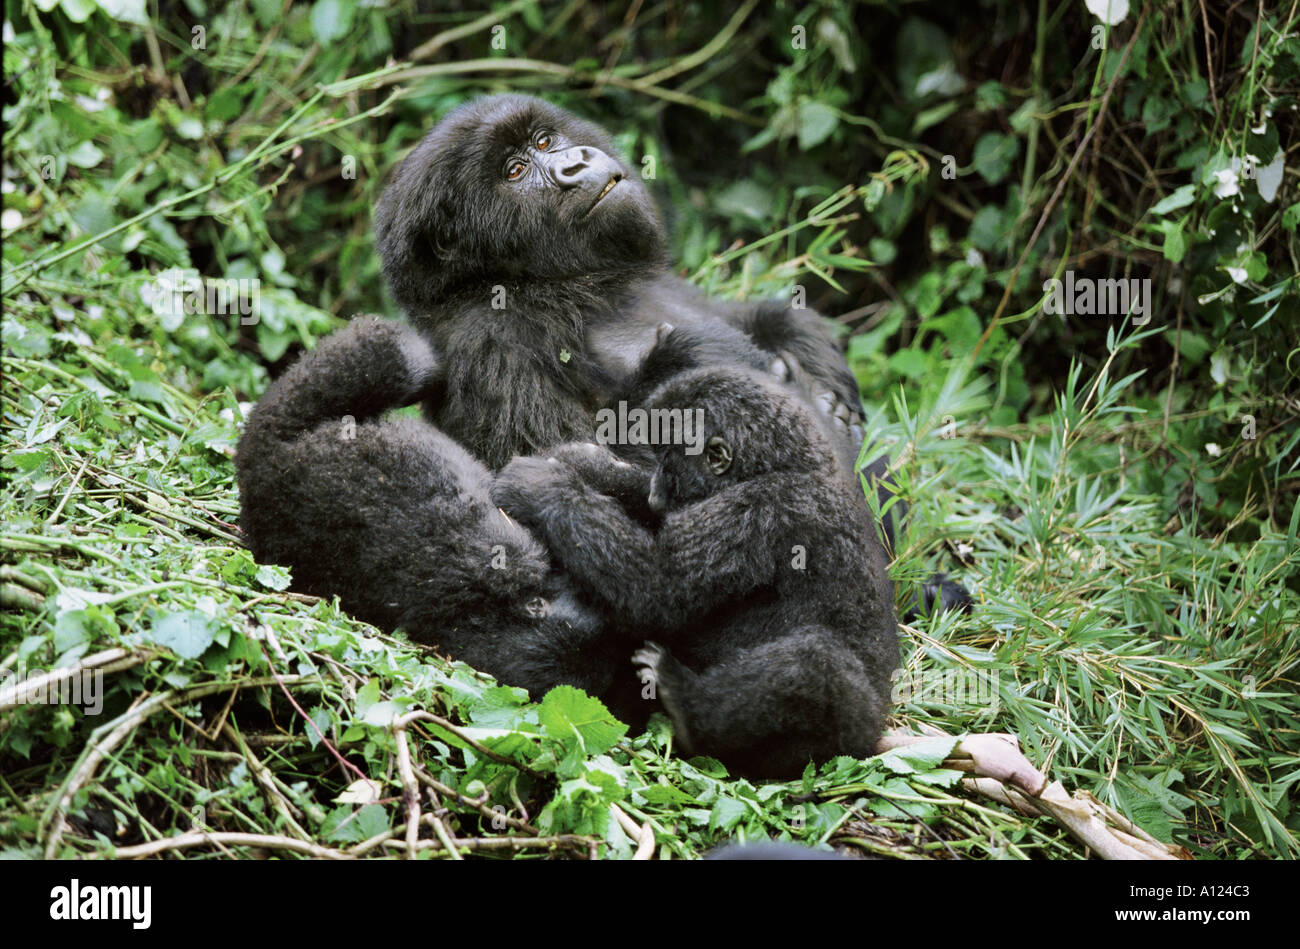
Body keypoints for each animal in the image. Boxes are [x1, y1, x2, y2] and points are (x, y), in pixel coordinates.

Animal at [491, 351, 899, 774]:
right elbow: (651, 523)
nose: (657, 490)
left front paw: (540, 487)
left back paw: (686, 705)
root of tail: (874, 737)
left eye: (668, 461)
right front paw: (589, 465)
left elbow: (656, 586)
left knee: (813, 663)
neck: (787, 463)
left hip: (840, 741)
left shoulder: (765, 509)